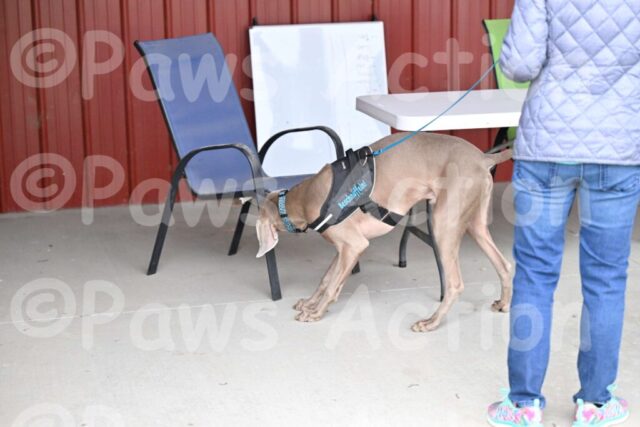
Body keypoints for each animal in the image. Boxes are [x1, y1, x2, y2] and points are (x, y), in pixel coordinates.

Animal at [256, 132, 513, 331]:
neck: (303, 198)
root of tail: (483, 157)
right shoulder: (346, 248)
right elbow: (326, 279)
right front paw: (310, 303)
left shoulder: (354, 245)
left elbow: (331, 286)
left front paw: (315, 313)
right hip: (475, 225)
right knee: (505, 265)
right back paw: (504, 303)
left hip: (444, 223)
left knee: (455, 283)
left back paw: (431, 322)